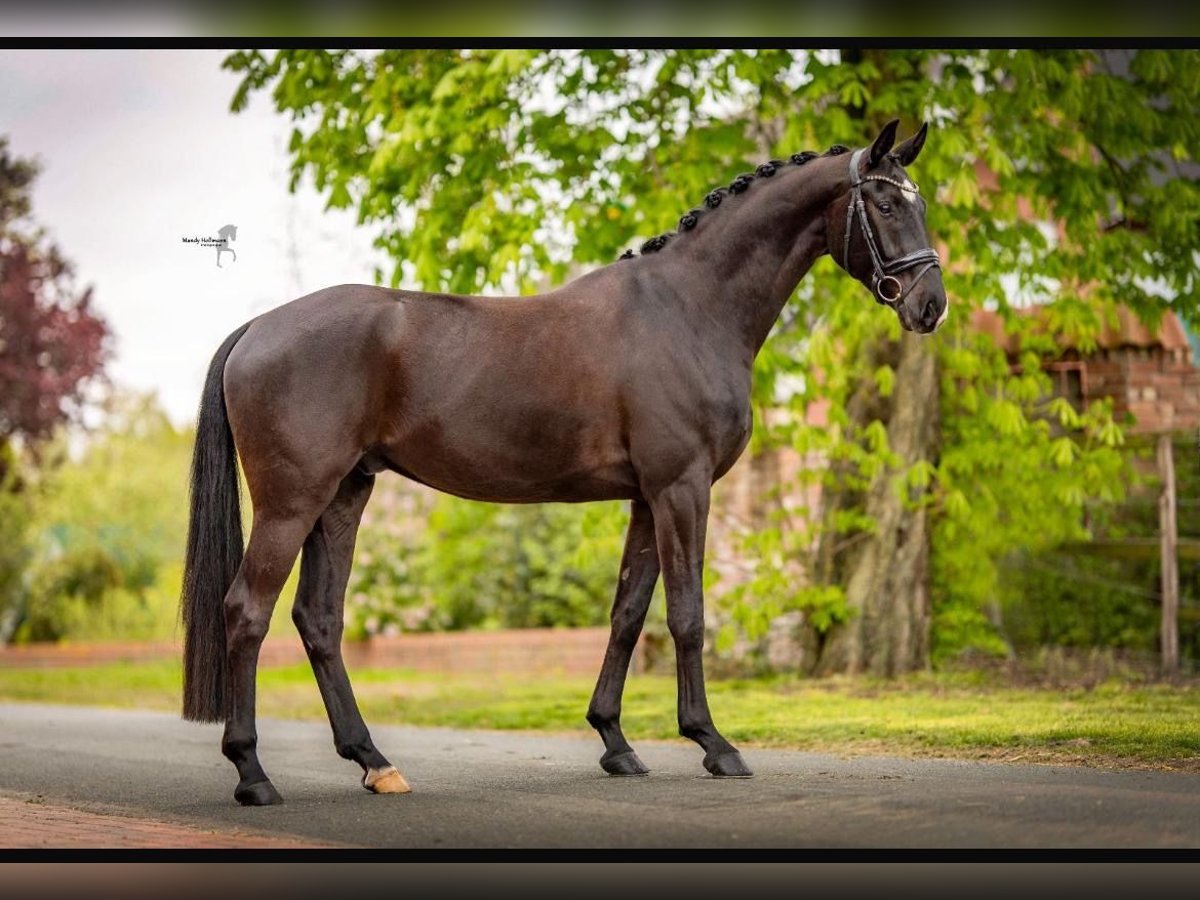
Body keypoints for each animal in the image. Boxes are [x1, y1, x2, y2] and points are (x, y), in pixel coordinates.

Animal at [180, 121, 945, 811]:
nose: (930, 306)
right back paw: (254, 775)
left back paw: (374, 762)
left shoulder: (646, 498)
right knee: (247, 612)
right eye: (884, 204)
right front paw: (713, 743)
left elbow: (628, 612)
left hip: (343, 496)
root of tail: (257, 328)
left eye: (919, 202)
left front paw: (615, 742)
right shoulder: (682, 489)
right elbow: (687, 613)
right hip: (292, 502)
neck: (689, 308)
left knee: (319, 620)